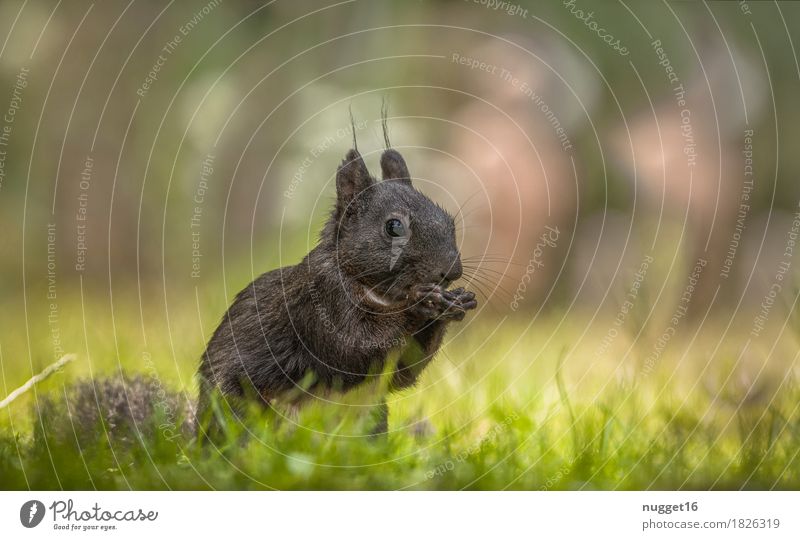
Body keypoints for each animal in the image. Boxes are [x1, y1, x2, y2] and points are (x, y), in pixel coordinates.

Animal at [198, 146, 478, 432]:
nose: (453, 271)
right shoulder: (319, 299)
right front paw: (419, 303)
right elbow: (351, 350)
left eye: (449, 222)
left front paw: (457, 303)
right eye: (394, 227)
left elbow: (403, 371)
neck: (382, 295)